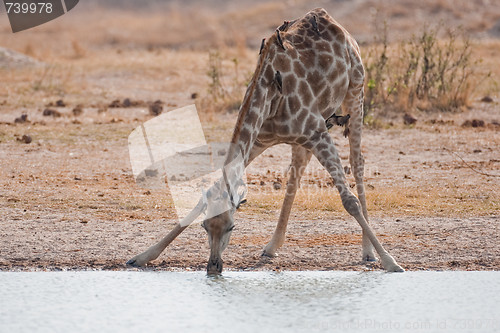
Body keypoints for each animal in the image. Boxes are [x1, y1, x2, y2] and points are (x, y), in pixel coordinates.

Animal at [127, 8, 404, 272]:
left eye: (231, 227)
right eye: (205, 226)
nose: (214, 266)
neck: (269, 98)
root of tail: (334, 21)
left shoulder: (317, 132)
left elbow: (349, 201)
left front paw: (390, 262)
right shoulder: (261, 139)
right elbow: (205, 194)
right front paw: (142, 256)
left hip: (355, 92)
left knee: (357, 162)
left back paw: (368, 252)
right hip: (308, 133)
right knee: (297, 169)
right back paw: (272, 246)